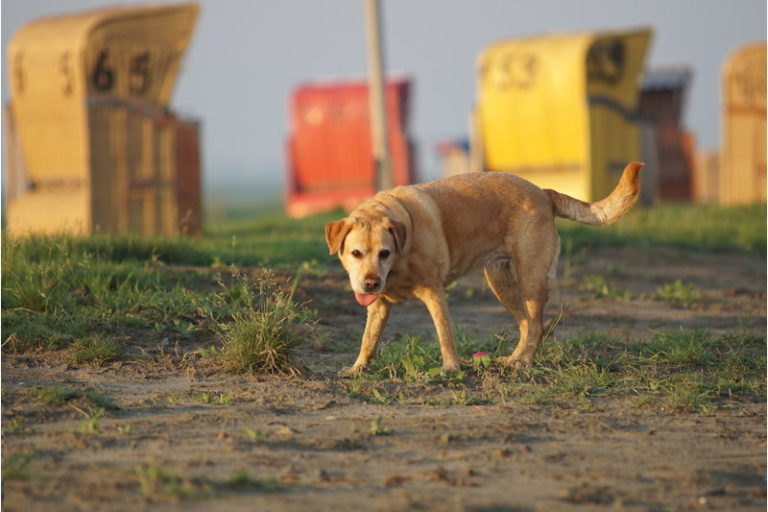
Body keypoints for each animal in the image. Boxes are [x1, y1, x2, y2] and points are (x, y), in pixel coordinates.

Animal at [324, 162, 640, 374]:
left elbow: (444, 333)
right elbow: (368, 339)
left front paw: (451, 368)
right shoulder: (378, 305)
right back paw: (513, 359)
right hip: (501, 282)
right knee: (527, 325)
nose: (370, 283)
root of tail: (543, 191)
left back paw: (523, 363)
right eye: (356, 253)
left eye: (385, 253)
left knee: (537, 326)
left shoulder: (434, 292)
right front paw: (357, 368)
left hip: (531, 278)